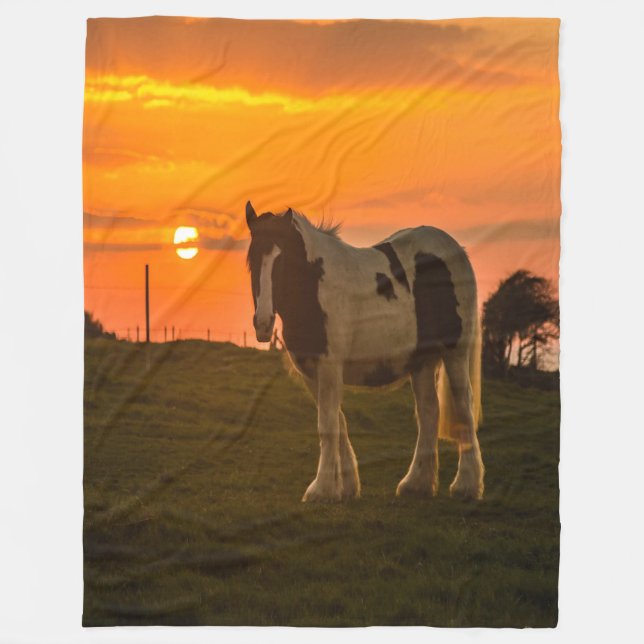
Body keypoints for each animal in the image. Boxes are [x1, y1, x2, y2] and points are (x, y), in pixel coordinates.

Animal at [245, 201, 484, 502]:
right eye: (252, 259)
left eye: (283, 260)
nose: (263, 323)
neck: (316, 287)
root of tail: (455, 249)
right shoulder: (311, 371)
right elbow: (338, 422)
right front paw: (345, 486)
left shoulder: (329, 367)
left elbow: (327, 425)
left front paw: (321, 489)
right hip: (422, 362)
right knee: (429, 412)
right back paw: (416, 484)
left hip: (455, 353)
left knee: (463, 407)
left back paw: (466, 485)